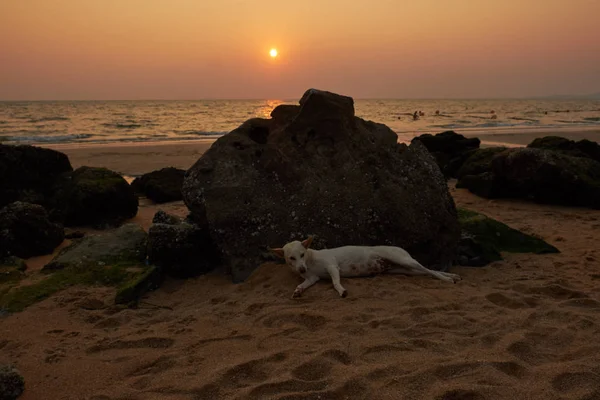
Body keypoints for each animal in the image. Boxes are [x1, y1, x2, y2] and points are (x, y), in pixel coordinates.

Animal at [270, 236, 462, 298]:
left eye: (302, 254)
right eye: (291, 258)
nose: (301, 269)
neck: (310, 261)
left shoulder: (333, 267)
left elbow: (335, 282)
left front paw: (341, 290)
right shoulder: (312, 278)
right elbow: (303, 284)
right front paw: (298, 290)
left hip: (404, 260)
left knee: (428, 270)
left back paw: (447, 279)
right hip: (403, 269)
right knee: (427, 271)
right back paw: (453, 276)